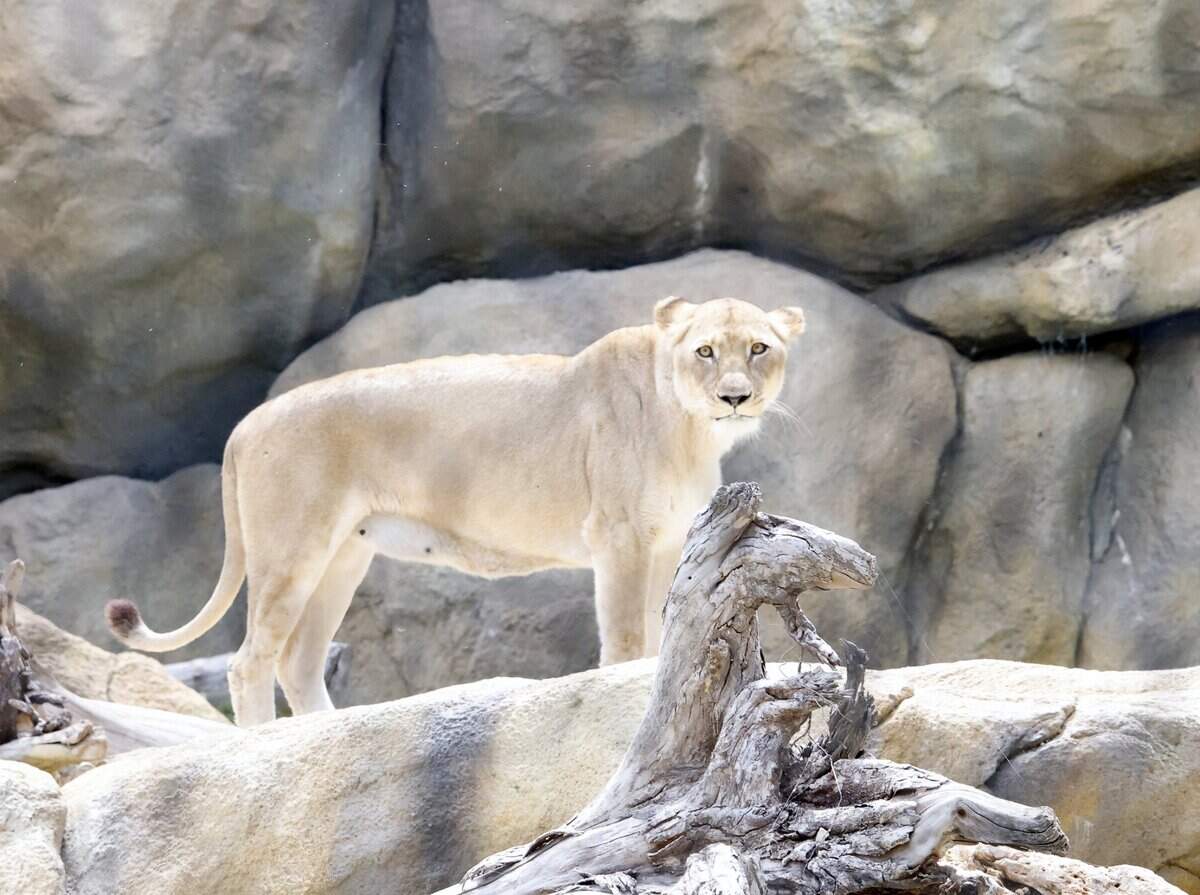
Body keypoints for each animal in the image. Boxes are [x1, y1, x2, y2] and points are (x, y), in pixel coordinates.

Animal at [105, 296, 805, 726]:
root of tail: (245, 424)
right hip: (291, 550)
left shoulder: (667, 544)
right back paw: (264, 745)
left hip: (344, 555)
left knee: (296, 661)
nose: (735, 397)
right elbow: (630, 640)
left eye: (759, 348)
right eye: (705, 351)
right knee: (249, 660)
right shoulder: (621, 538)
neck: (691, 428)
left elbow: (668, 636)